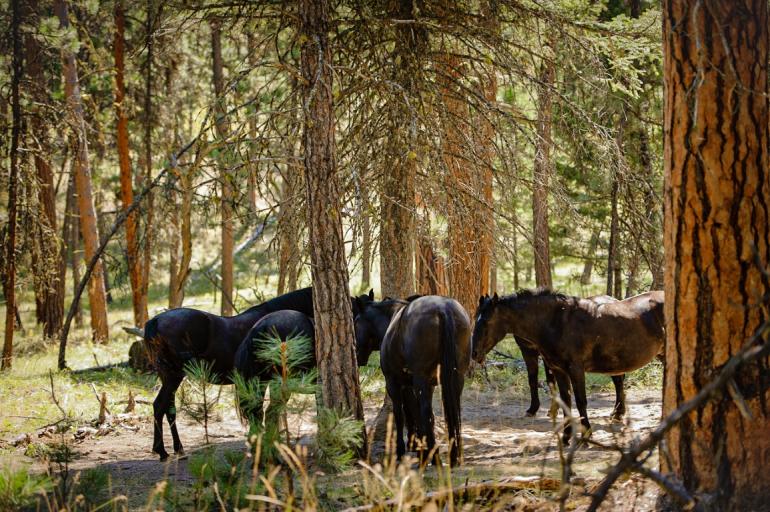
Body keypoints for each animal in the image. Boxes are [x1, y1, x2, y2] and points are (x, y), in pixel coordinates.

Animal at [144, 287, 374, 460]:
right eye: (356, 317)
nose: (360, 357)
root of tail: (155, 321)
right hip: (174, 375)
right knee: (161, 406)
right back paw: (163, 451)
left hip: (169, 376)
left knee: (166, 408)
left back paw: (175, 448)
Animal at [354, 296, 471, 467]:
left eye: (356, 322)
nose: (357, 356)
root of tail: (443, 309)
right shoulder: (421, 385)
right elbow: (416, 413)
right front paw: (419, 447)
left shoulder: (394, 384)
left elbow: (402, 414)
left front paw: (405, 450)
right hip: (456, 378)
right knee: (453, 411)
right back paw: (453, 456)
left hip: (420, 380)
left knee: (425, 412)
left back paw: (433, 457)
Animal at [471, 288, 664, 442]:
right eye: (475, 318)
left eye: (487, 321)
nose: (474, 354)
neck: (557, 322)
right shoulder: (558, 370)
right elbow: (566, 401)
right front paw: (566, 436)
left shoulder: (575, 369)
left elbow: (580, 402)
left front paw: (586, 435)